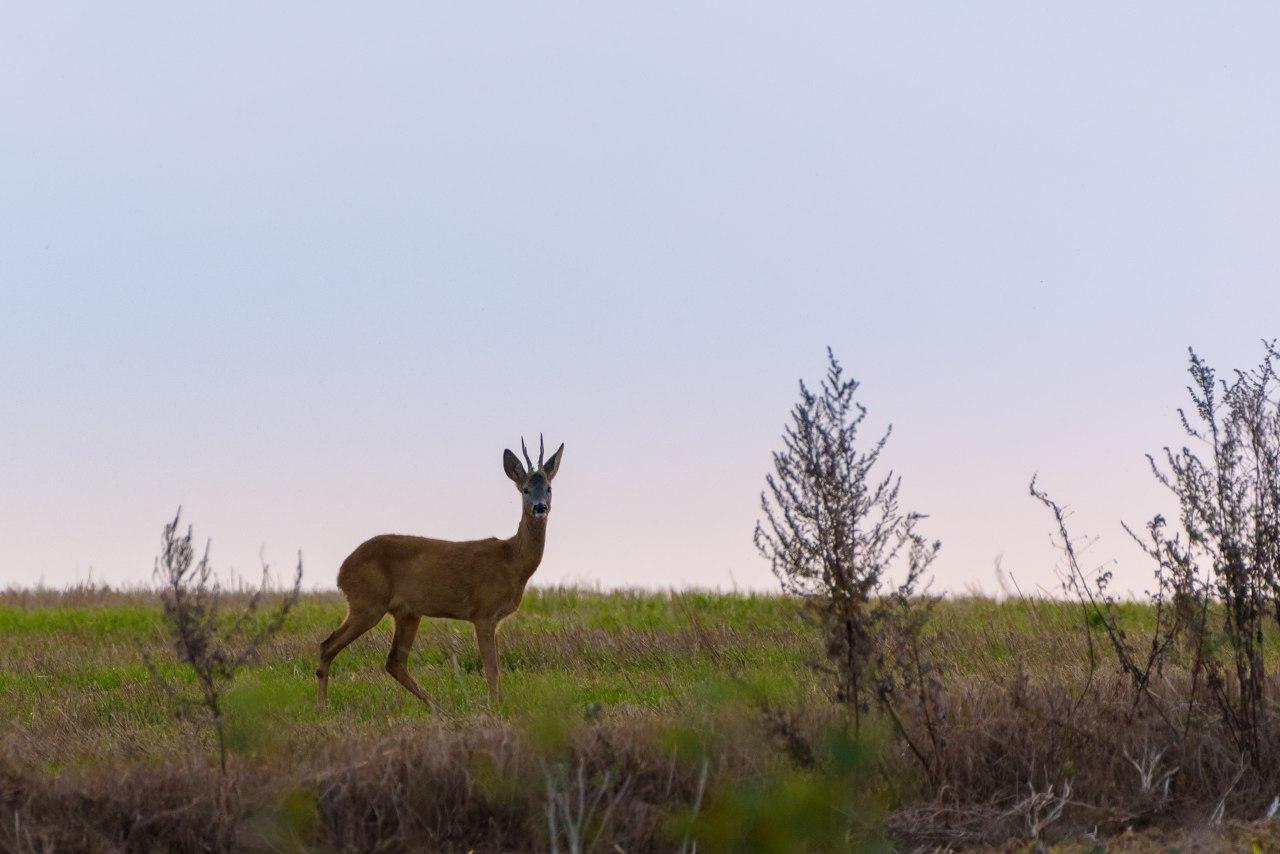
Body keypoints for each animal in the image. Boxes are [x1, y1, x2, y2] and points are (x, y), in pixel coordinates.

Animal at [317, 437, 563, 706]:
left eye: (549, 488)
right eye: (525, 489)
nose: (540, 507)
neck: (512, 561)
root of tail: (342, 571)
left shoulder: (494, 619)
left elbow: (494, 668)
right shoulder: (484, 613)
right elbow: (491, 669)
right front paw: (494, 707)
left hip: (407, 612)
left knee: (394, 661)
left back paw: (437, 706)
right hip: (367, 603)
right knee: (327, 645)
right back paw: (323, 706)